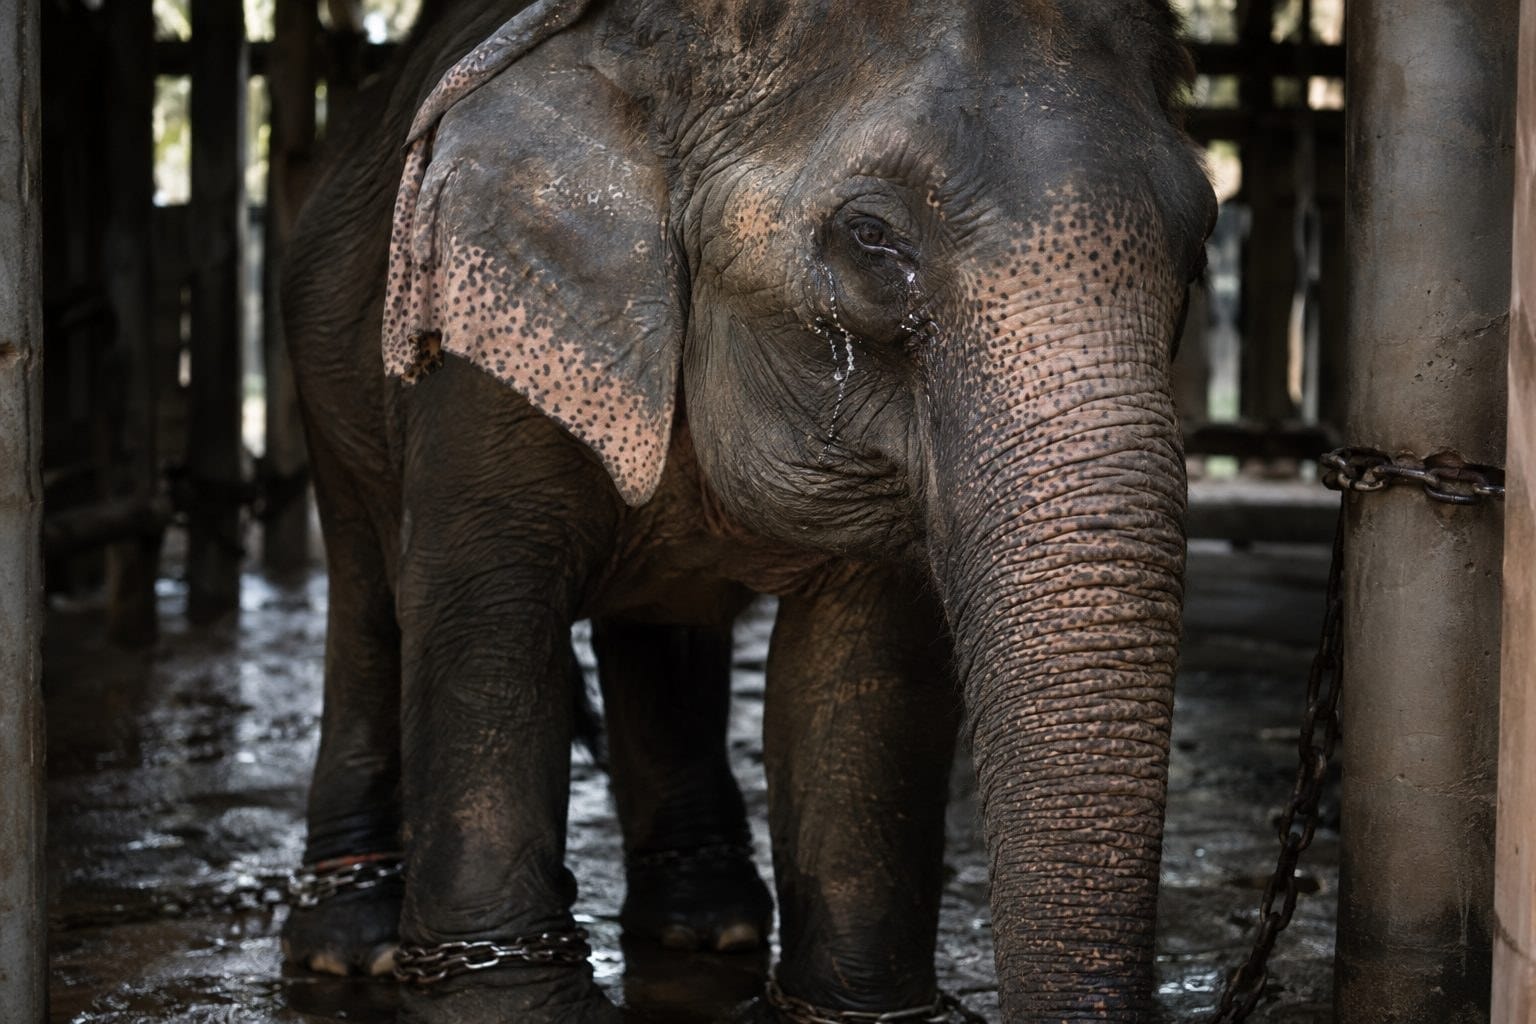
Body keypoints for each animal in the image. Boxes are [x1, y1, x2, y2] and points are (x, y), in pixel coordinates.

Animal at [279, 0, 1215, 1020]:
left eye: (1201, 238)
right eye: (870, 237)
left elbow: (859, 662)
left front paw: (849, 1009)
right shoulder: (479, 344)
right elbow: (483, 611)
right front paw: (511, 1001)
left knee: (661, 625)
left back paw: (705, 925)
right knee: (371, 598)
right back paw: (350, 947)